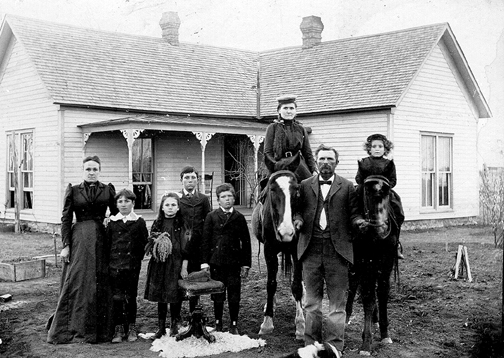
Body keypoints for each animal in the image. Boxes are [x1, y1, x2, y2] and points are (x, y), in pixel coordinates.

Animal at [251, 169, 306, 340]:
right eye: (272, 190)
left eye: (297, 190)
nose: (286, 232)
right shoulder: (269, 250)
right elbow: (271, 284)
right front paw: (267, 323)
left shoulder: (297, 251)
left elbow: (297, 285)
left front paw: (300, 325)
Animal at [344, 176, 400, 356]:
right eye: (367, 191)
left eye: (387, 191)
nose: (381, 229)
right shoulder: (364, 263)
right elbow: (368, 298)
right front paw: (366, 343)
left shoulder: (386, 263)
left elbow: (382, 293)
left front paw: (384, 333)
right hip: (357, 266)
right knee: (354, 286)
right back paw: (347, 316)